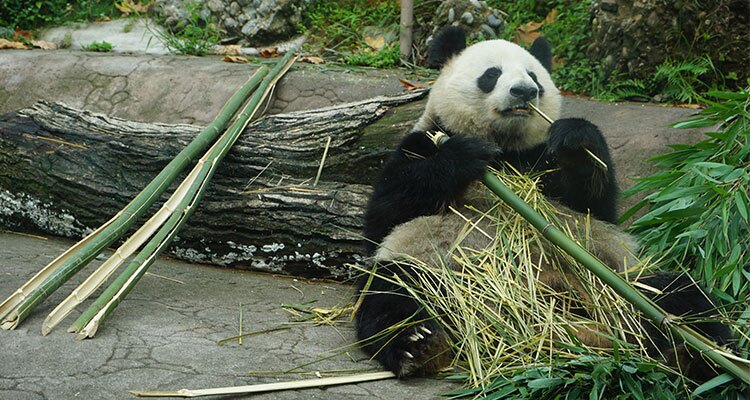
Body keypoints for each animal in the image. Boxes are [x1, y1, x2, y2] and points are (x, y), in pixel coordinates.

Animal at [355, 26, 733, 381]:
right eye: (491, 74)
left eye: (534, 76)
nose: (524, 91)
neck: (506, 148)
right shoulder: (420, 143)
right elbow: (387, 211)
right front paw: (465, 155)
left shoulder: (539, 160)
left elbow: (595, 205)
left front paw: (577, 139)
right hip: (431, 269)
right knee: (393, 296)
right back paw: (420, 345)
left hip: (619, 281)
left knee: (680, 294)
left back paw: (705, 354)